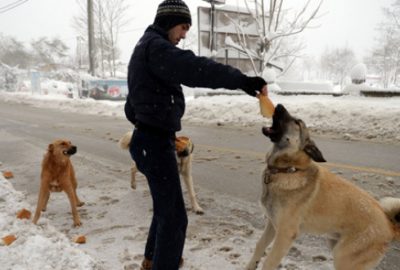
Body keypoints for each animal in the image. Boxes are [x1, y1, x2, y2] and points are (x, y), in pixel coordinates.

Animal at [245, 104, 400, 270]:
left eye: (297, 122)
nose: (279, 105)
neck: (288, 169)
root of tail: (390, 227)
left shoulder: (285, 234)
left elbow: (269, 262)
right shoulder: (272, 225)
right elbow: (259, 246)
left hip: (344, 258)